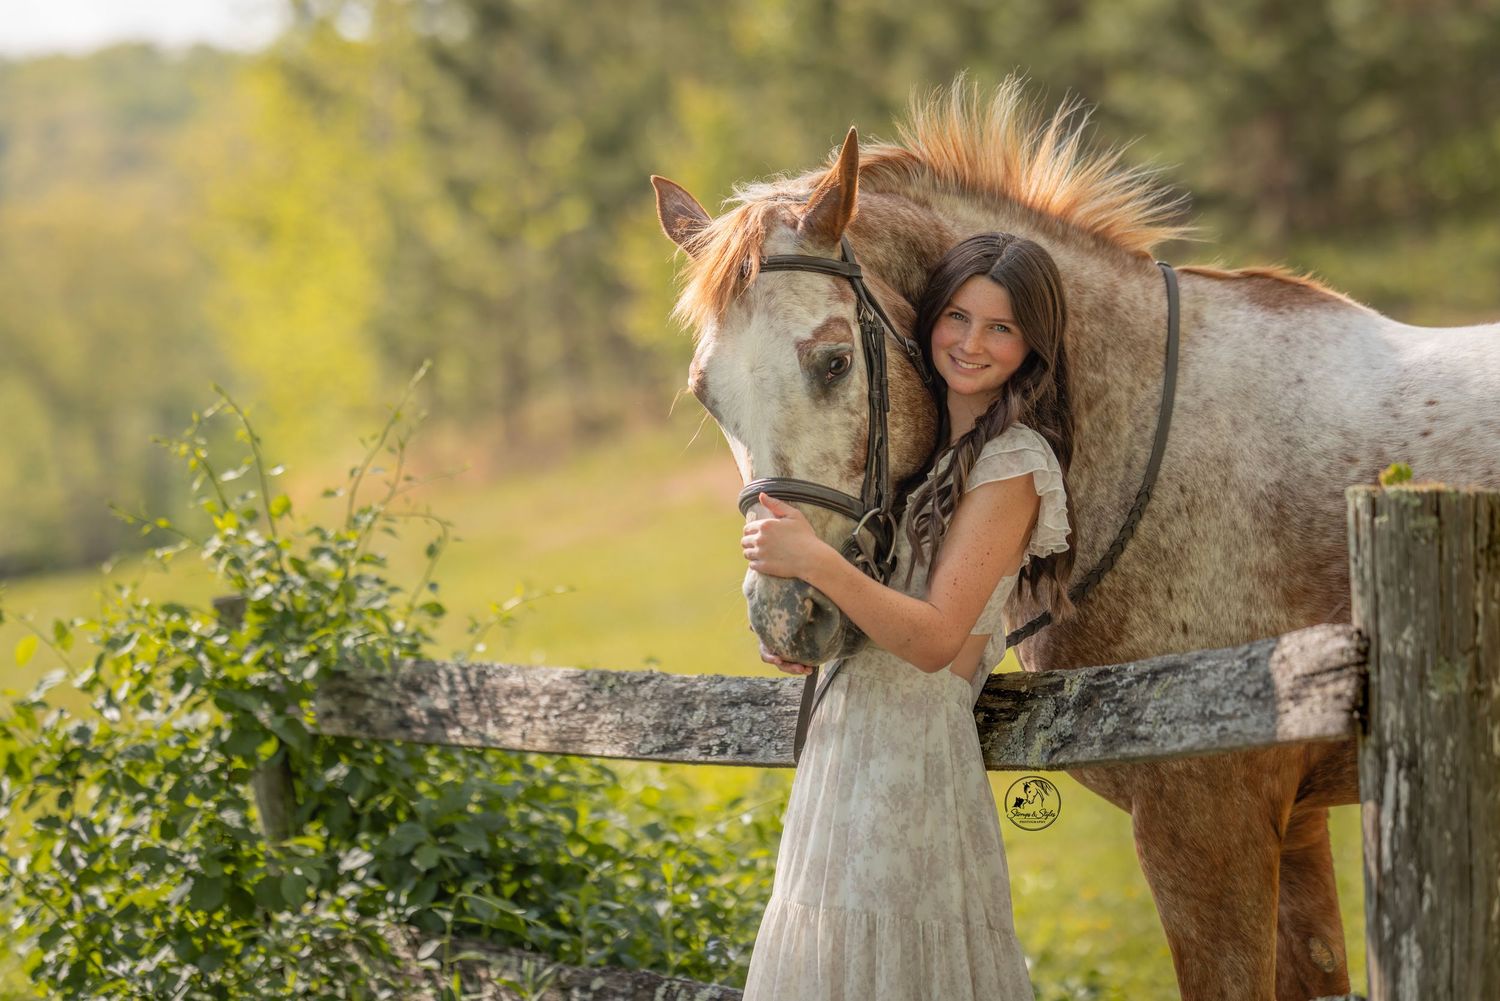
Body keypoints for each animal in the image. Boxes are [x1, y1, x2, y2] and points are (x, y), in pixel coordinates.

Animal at [651, 77, 1500, 1001]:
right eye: (706, 393)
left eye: (834, 362)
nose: (785, 617)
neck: (1144, 441)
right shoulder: (1295, 824)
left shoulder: (1210, 819)